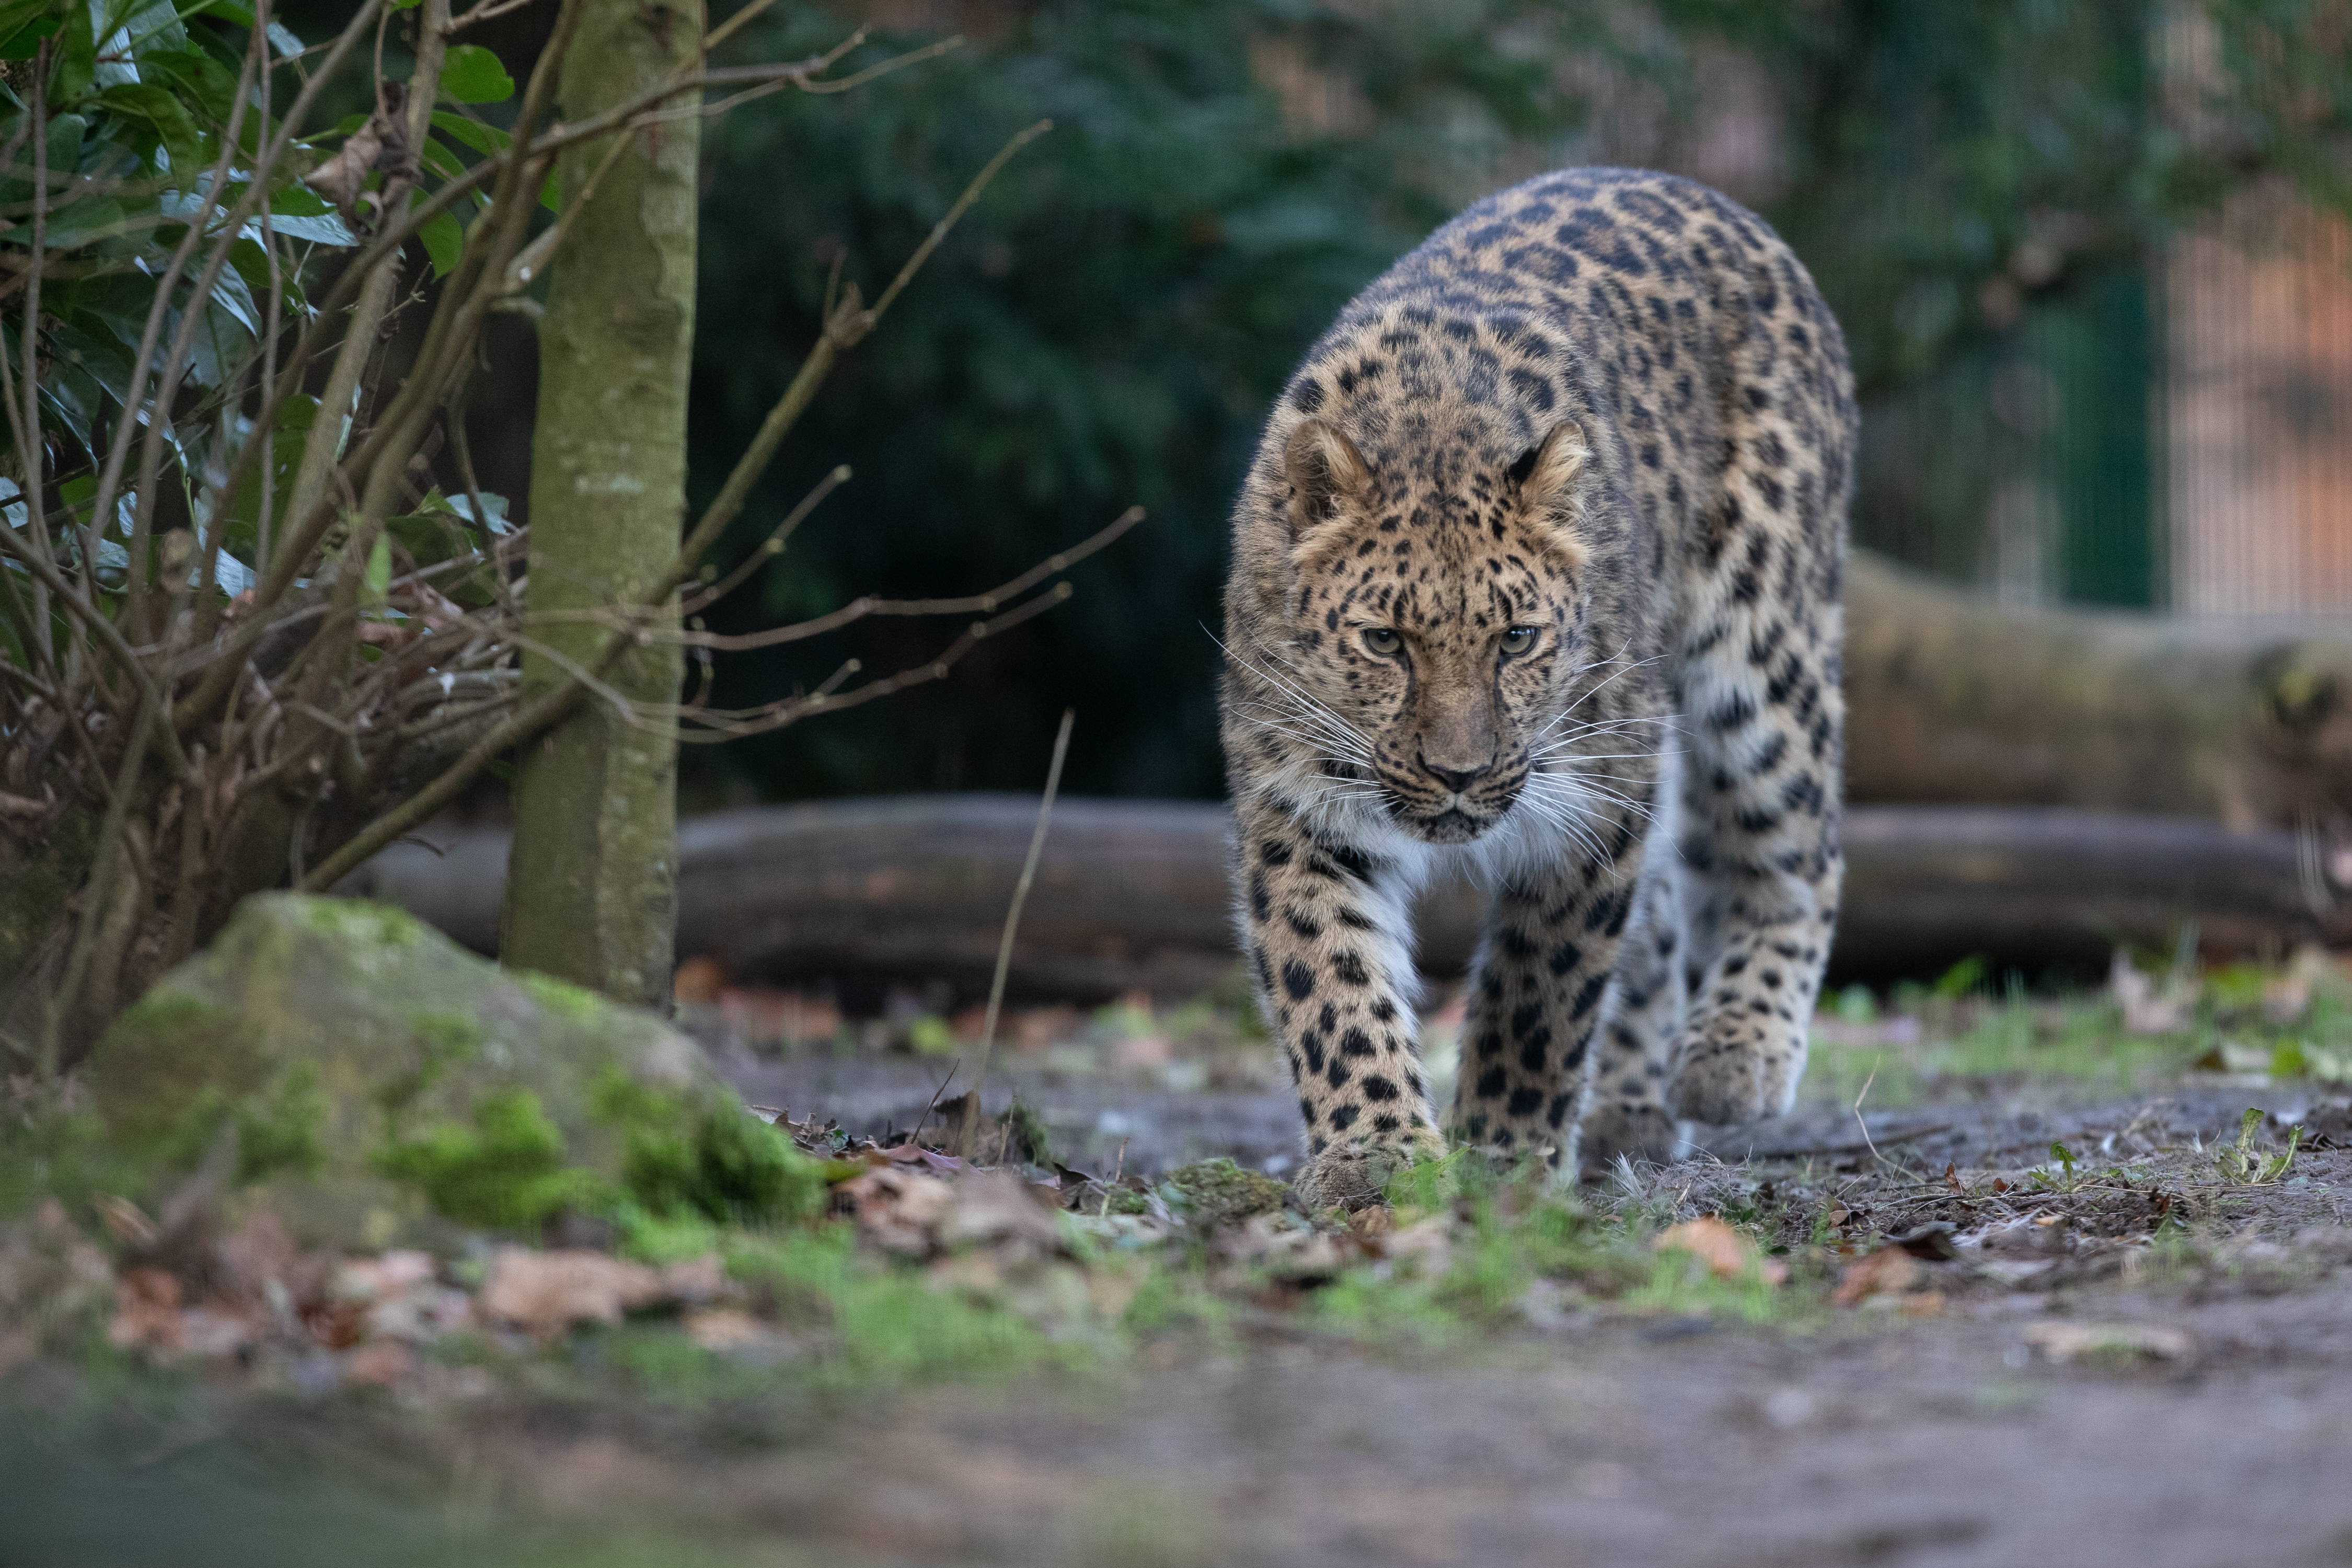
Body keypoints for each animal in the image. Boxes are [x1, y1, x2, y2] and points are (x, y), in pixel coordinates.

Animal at [1214, 166, 1853, 1213]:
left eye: (1517, 639)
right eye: (1384, 641)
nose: (1460, 775)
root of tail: (1703, 195)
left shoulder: (1597, 797)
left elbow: (1541, 992)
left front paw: (1503, 1153)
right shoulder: (1298, 804)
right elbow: (1332, 981)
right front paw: (1378, 1153)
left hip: (1762, 642)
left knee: (1798, 842)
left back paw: (1734, 1056)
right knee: (1668, 908)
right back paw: (1631, 1108)